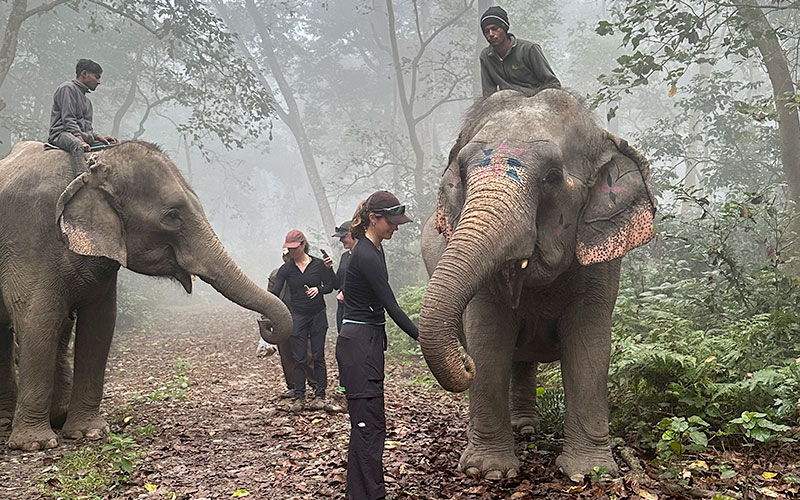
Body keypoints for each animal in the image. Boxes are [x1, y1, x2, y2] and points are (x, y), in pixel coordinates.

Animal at [0, 141, 294, 450]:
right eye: (171, 216)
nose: (263, 323)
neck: (93, 162)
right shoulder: (29, 238)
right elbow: (38, 319)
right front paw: (35, 444)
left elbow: (100, 325)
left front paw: (88, 433)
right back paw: (12, 423)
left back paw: (39, 418)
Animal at [418, 89, 656, 480]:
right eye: (463, 175)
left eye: (552, 176)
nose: (463, 363)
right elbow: (488, 340)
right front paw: (487, 473)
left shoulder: (600, 260)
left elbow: (589, 346)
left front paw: (591, 473)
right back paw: (522, 428)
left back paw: (528, 428)